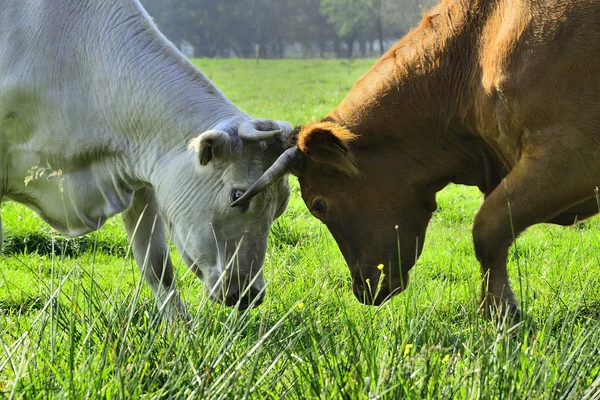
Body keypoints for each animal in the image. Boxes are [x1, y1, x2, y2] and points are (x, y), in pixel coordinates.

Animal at [0, 0, 292, 318]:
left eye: (280, 207)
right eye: (237, 195)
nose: (251, 293)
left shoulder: (140, 178)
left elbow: (157, 264)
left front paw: (181, 327)